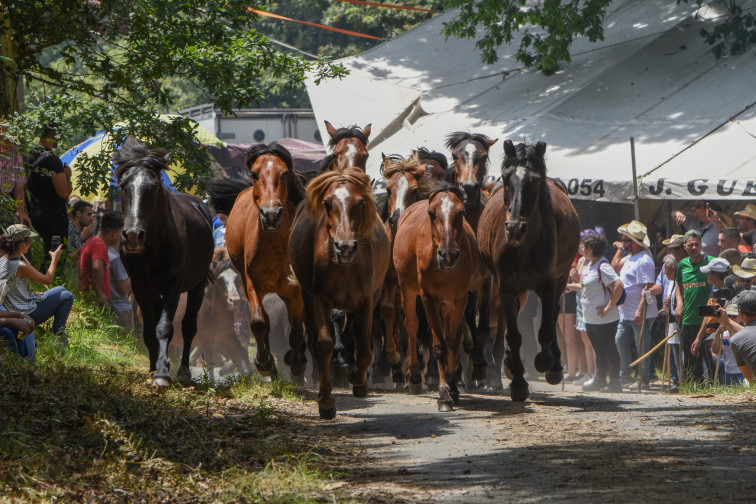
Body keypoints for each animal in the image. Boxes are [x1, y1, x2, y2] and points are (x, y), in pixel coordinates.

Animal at [115, 136, 216, 388]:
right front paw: (153, 368)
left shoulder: (174, 283)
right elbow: (150, 329)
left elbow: (165, 327)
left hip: (197, 286)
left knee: (189, 326)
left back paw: (183, 370)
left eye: (154, 187)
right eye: (123, 186)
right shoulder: (139, 285)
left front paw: (162, 373)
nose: (133, 236)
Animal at [205, 143, 308, 382]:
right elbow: (259, 323)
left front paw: (297, 362)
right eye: (254, 173)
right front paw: (264, 364)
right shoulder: (252, 283)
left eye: (285, 173)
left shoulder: (295, 287)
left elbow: (297, 327)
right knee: (266, 322)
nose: (271, 214)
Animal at [290, 167, 390, 420]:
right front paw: (326, 401)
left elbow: (363, 344)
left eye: (360, 202)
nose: (345, 247)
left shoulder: (366, 299)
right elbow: (323, 345)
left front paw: (358, 378)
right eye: (327, 203)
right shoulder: (317, 300)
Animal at [392, 187, 482, 412]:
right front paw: (443, 394)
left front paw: (452, 385)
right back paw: (415, 376)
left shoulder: (458, 301)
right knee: (412, 325)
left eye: (461, 212)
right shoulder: (429, 299)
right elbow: (440, 346)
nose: (448, 255)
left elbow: (452, 342)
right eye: (432, 214)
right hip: (407, 289)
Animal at [478, 140, 580, 400]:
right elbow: (513, 335)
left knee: (553, 315)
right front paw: (518, 382)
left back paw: (553, 364)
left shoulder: (549, 284)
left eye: (535, 181)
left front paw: (546, 363)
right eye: (506, 178)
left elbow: (546, 329)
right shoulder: (506, 287)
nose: (514, 228)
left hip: (562, 277)